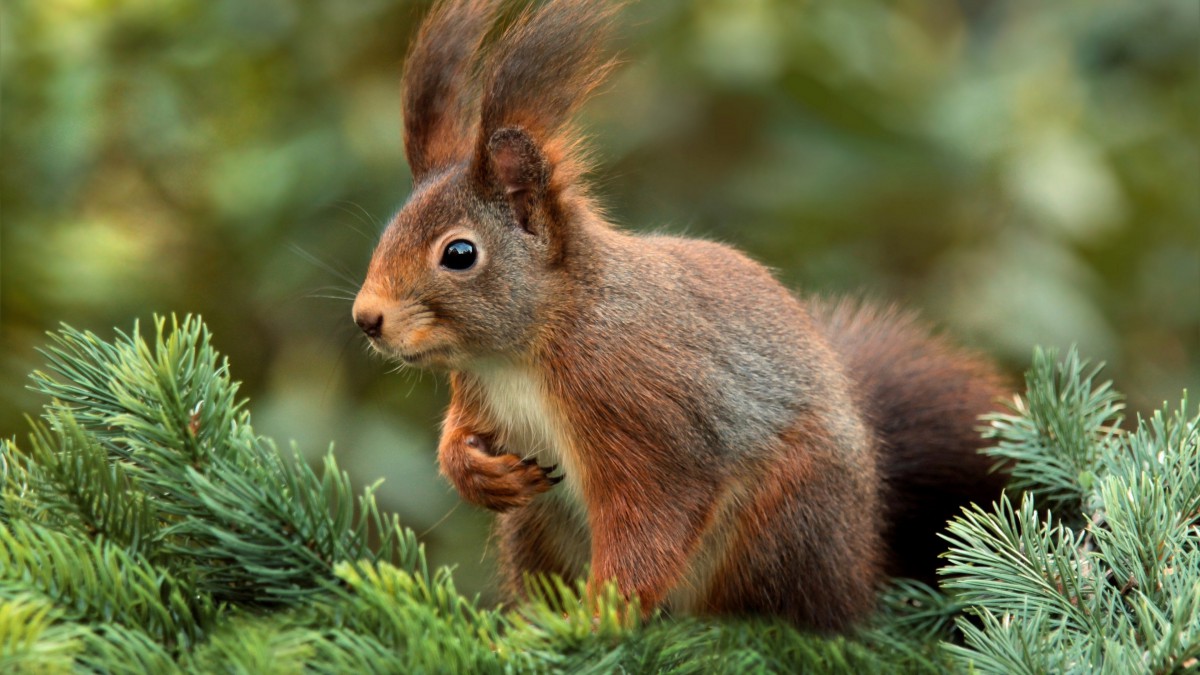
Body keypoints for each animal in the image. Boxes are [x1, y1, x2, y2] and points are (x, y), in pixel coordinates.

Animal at [350, 0, 1008, 629]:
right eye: (389, 229)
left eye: (459, 254)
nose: (366, 319)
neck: (524, 351)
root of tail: (861, 562)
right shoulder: (477, 391)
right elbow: (457, 436)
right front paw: (474, 472)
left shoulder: (639, 408)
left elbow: (652, 518)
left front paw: (598, 620)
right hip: (535, 527)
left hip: (784, 517)